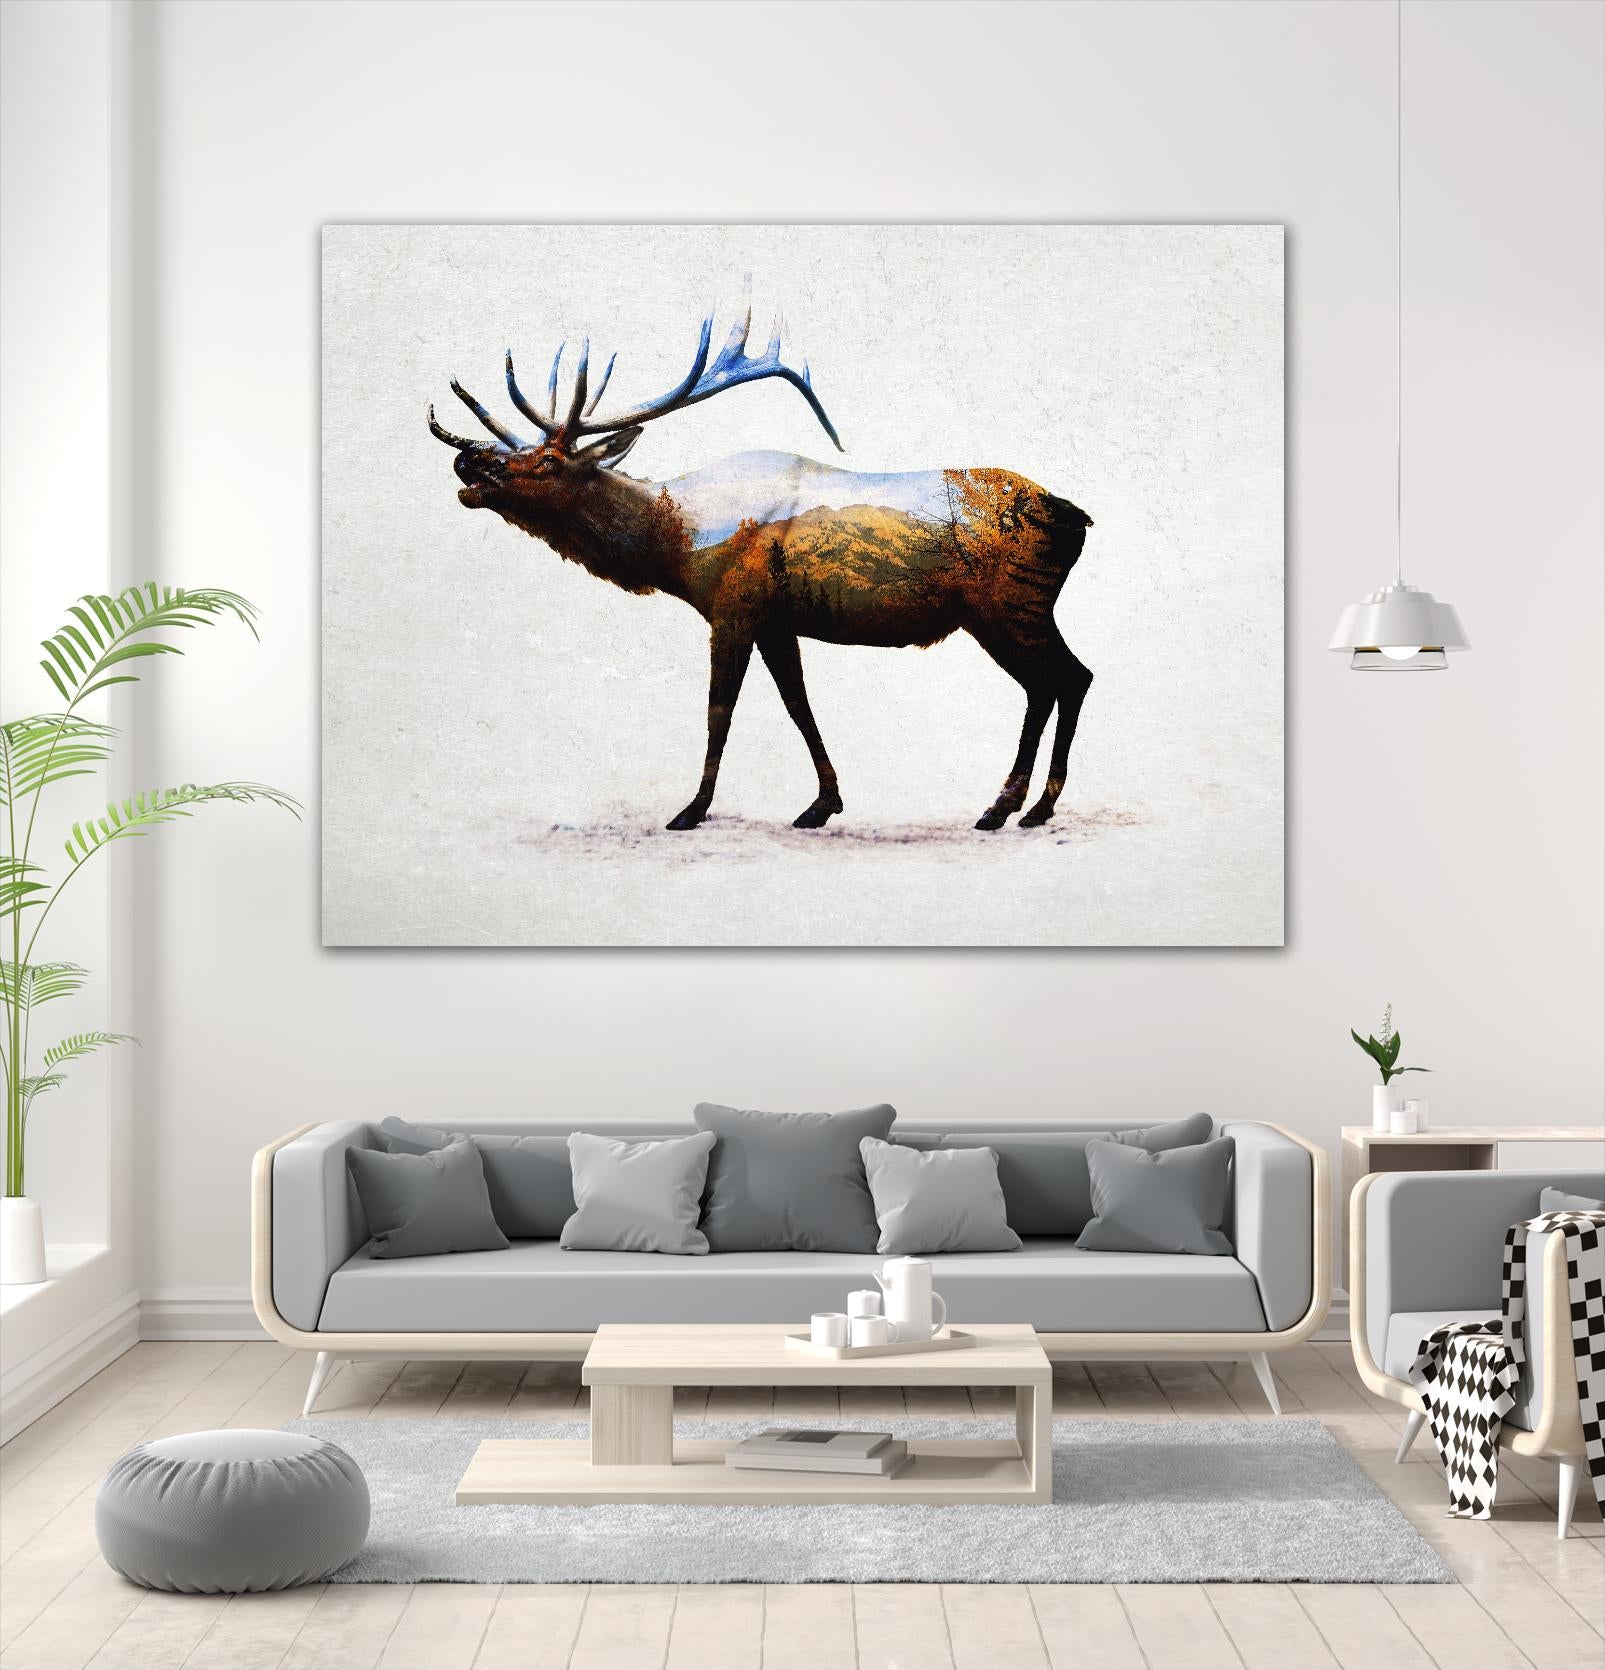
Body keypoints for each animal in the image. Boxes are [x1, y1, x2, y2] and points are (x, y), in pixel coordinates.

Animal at [429, 305, 1094, 832]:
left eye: (546, 460)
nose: (469, 461)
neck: (677, 543)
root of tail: (1076, 517)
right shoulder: (777, 620)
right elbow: (798, 704)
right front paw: (823, 803)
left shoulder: (733, 606)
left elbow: (719, 712)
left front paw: (691, 809)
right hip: (1017, 610)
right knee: (1062, 680)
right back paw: (1022, 807)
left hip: (1007, 605)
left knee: (1064, 678)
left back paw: (1014, 808)